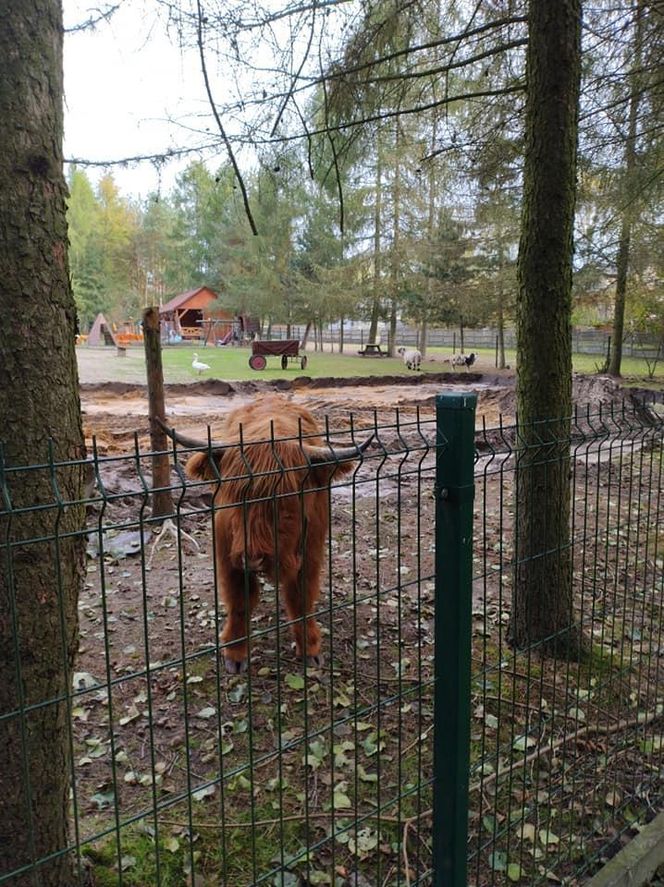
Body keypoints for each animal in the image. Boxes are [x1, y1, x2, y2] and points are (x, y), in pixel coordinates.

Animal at [159, 398, 370, 672]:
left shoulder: (311, 549)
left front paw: (310, 649)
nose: (253, 559)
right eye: (234, 498)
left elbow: (301, 598)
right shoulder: (227, 551)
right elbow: (239, 601)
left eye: (285, 502)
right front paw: (235, 655)